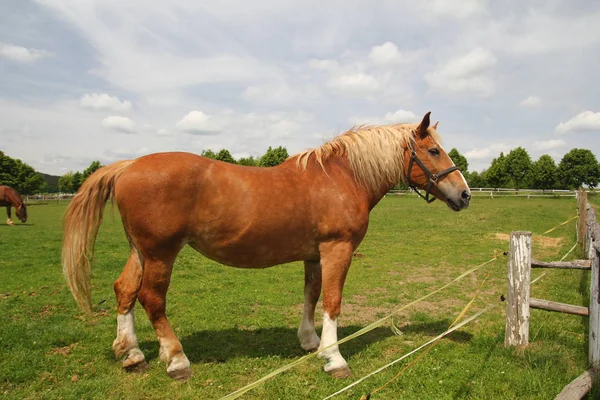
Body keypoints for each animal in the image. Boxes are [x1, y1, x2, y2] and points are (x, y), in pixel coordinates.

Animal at [62, 111, 474, 382]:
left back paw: (132, 353)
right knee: (152, 299)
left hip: (141, 252)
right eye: (434, 151)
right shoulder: (337, 249)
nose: (465, 194)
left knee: (125, 290)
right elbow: (332, 301)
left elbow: (311, 295)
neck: (341, 177)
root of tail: (128, 165)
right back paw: (177, 360)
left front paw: (309, 341)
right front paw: (334, 357)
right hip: (161, 254)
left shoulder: (313, 254)